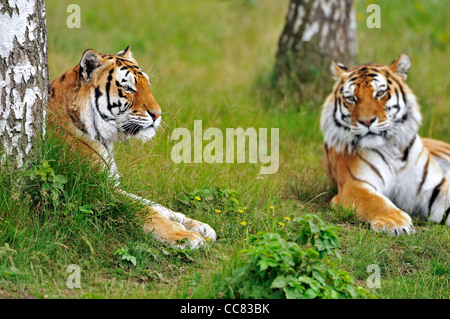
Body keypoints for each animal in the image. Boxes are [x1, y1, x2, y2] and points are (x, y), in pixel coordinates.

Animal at [48, 46, 217, 249]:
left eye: (148, 85)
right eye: (127, 88)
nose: (157, 114)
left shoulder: (111, 183)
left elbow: (155, 205)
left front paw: (199, 225)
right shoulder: (95, 187)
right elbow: (146, 211)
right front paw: (185, 235)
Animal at [320, 54, 450, 235]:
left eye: (380, 93)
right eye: (351, 98)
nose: (366, 121)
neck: (393, 149)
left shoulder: (433, 187)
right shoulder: (354, 184)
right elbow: (375, 201)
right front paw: (395, 222)